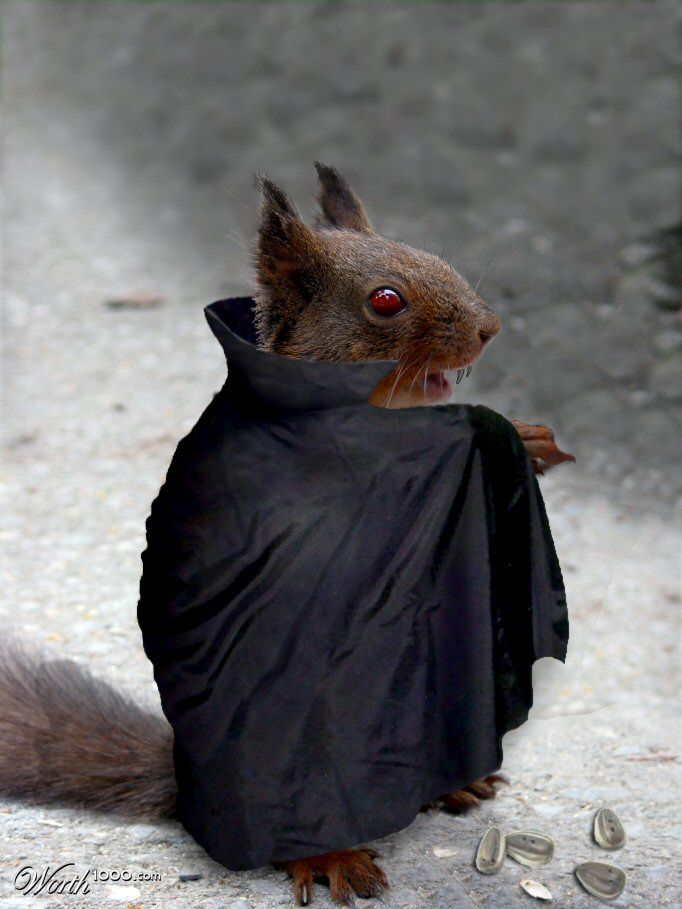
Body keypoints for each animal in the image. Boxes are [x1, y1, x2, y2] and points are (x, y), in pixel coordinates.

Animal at [0, 164, 574, 906]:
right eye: (385, 301)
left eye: (434, 256)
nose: (489, 328)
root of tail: (189, 795)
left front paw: (526, 440)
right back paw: (330, 856)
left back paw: (453, 782)